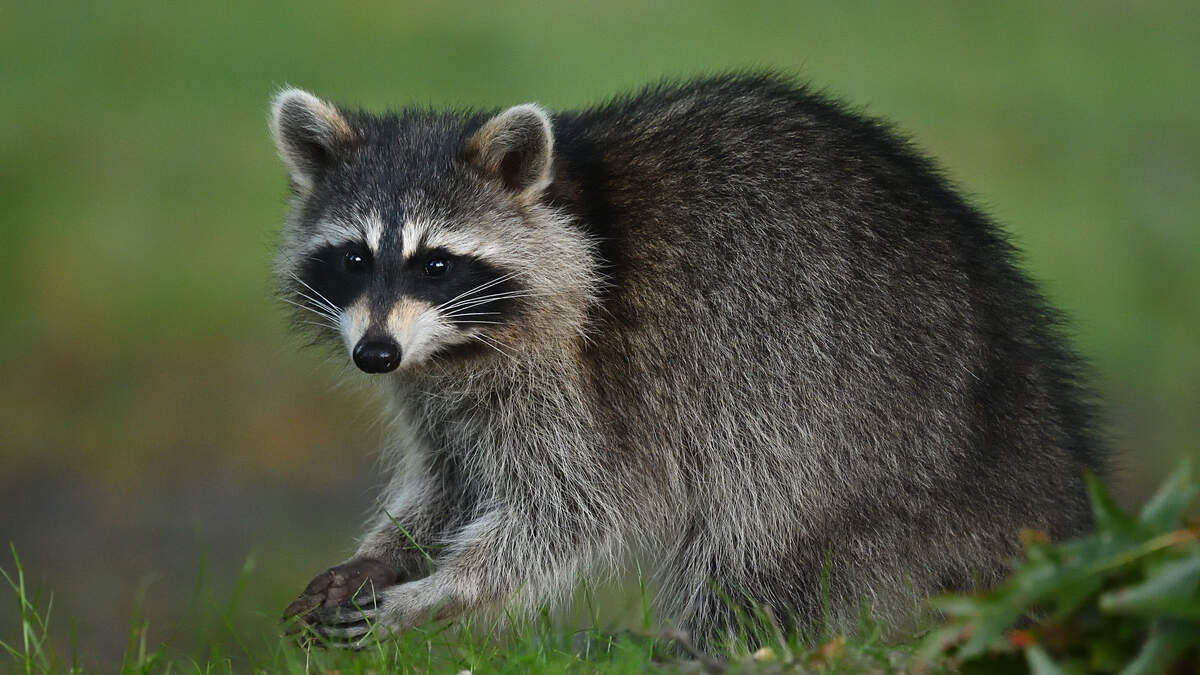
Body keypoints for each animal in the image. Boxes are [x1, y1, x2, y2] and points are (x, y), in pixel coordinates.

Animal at [271, 74, 1103, 648]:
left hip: (846, 414)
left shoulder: (584, 370)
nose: (375, 354)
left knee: (767, 525)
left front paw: (443, 590)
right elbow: (453, 481)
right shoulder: (439, 386)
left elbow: (568, 507)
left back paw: (711, 638)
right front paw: (386, 554)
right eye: (353, 258)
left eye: (436, 264)